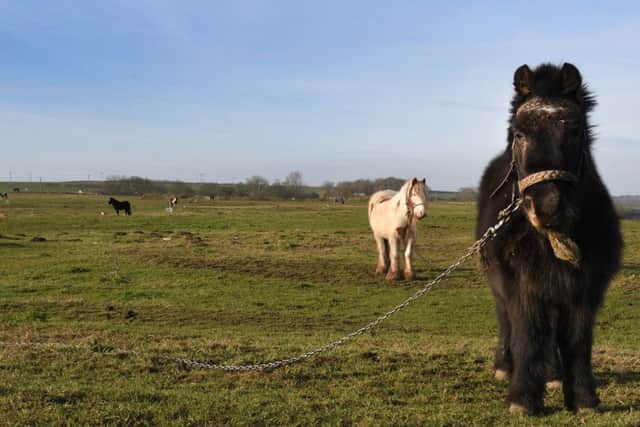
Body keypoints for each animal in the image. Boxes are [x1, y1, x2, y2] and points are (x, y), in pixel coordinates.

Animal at [476, 63, 622, 414]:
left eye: (575, 132)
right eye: (519, 134)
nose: (547, 206)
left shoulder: (583, 288)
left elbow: (577, 340)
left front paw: (583, 399)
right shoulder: (521, 286)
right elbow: (527, 334)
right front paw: (523, 399)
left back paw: (554, 375)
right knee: (507, 321)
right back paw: (505, 367)